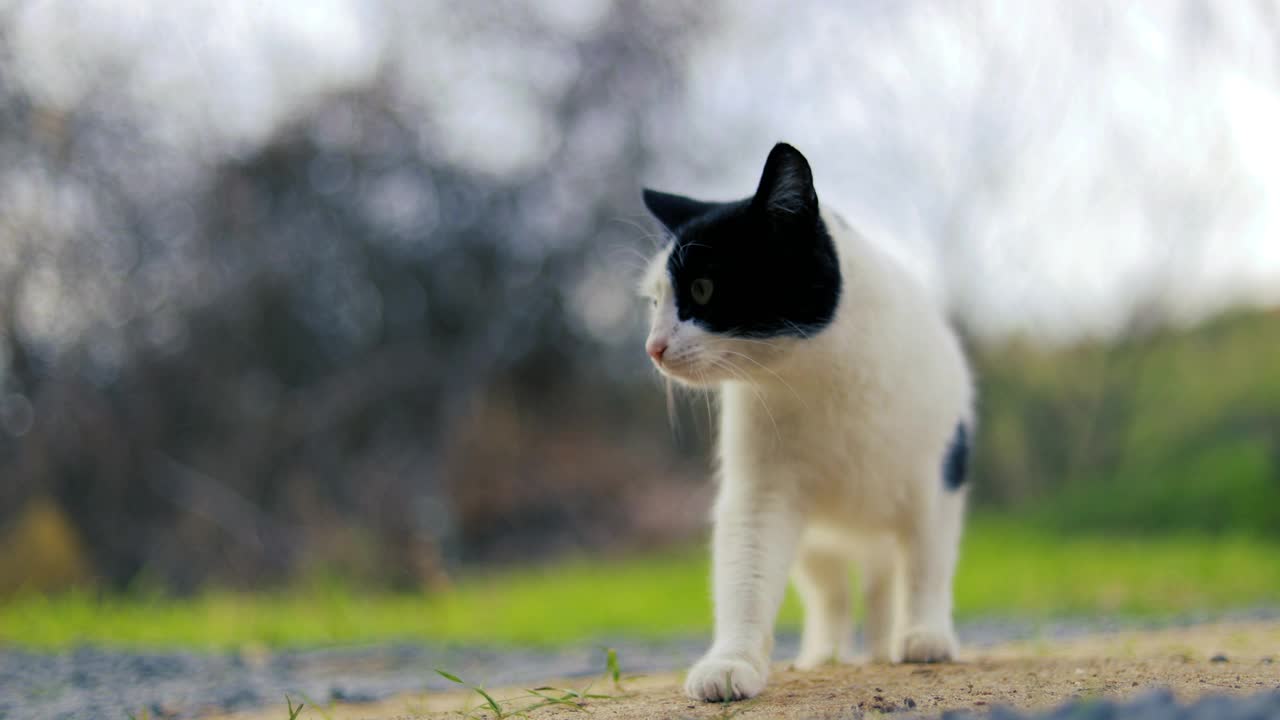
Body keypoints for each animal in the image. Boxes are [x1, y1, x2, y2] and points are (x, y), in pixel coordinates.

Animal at [634, 142, 972, 696]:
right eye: (655, 302)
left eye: (703, 289)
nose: (653, 347)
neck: (822, 372)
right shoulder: (760, 491)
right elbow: (747, 572)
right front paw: (731, 662)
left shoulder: (938, 479)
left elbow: (926, 564)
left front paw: (925, 636)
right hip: (817, 544)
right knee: (832, 593)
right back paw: (825, 656)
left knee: (883, 582)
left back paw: (886, 645)